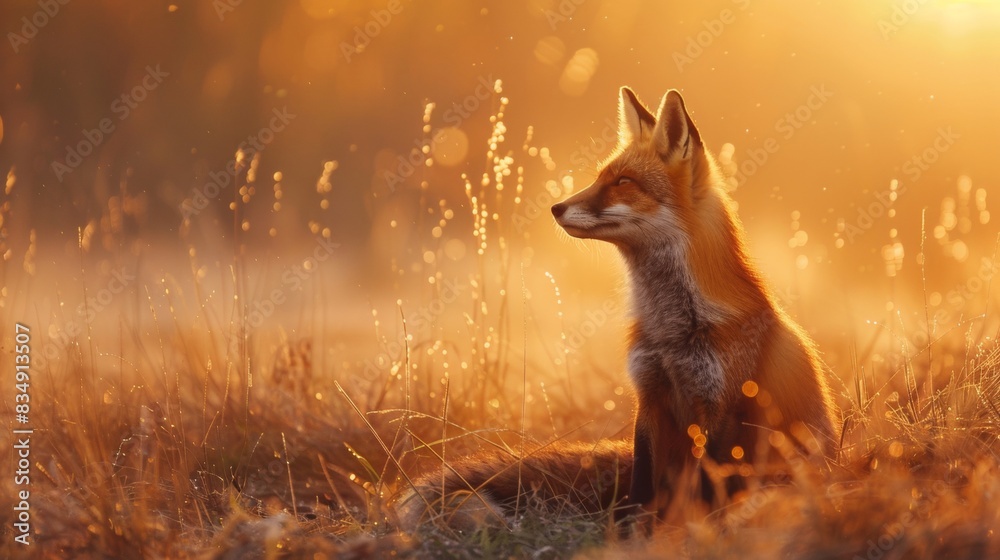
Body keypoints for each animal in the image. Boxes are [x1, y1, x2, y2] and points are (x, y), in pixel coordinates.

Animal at [395, 87, 838, 532]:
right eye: (598, 177)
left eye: (623, 182)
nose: (556, 207)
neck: (670, 329)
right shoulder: (649, 395)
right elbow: (640, 485)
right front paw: (629, 533)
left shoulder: (720, 406)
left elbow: (707, 486)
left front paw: (695, 530)